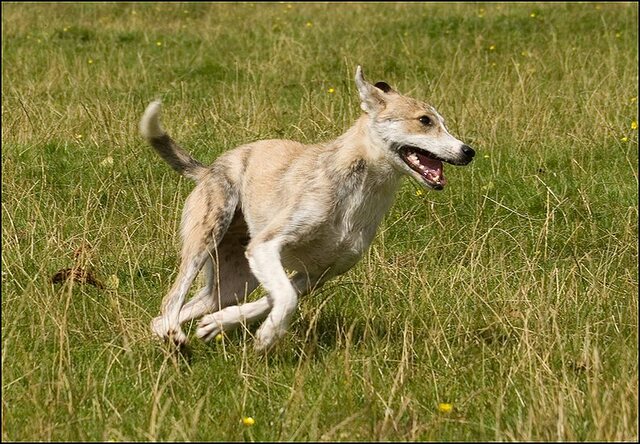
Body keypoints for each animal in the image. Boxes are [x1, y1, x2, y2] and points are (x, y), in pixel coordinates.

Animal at [141, 65, 476, 350]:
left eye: (442, 122)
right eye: (424, 120)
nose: (468, 152)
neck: (358, 189)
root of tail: (207, 170)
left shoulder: (317, 274)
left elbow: (276, 298)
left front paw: (220, 324)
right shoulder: (266, 246)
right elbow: (285, 297)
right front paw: (268, 336)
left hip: (237, 279)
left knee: (177, 311)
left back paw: (174, 335)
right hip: (207, 236)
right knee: (172, 300)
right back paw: (173, 335)